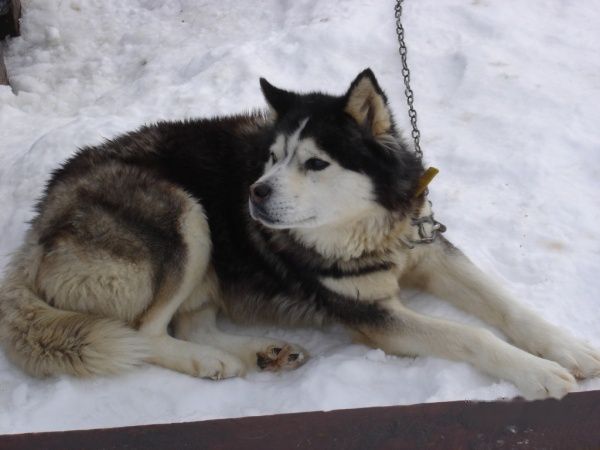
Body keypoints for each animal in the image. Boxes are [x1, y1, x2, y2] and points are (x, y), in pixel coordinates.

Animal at [1, 69, 598, 400]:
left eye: (314, 163)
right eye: (271, 159)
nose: (254, 194)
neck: (366, 229)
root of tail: (39, 220)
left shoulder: (427, 247)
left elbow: (506, 305)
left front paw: (568, 348)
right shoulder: (372, 314)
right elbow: (471, 334)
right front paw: (538, 374)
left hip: (207, 253)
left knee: (190, 323)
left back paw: (263, 351)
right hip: (183, 215)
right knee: (146, 333)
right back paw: (211, 363)